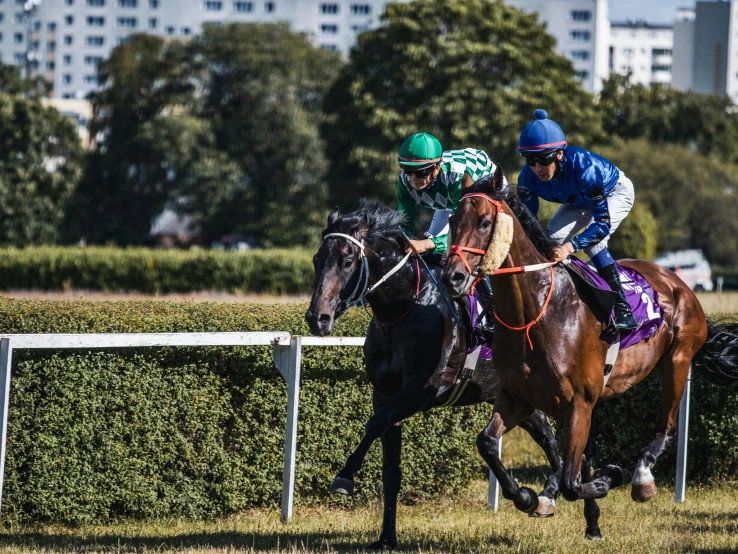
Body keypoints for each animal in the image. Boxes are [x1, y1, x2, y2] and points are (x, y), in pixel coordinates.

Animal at [304, 201, 556, 544]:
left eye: (346, 261)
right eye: (317, 260)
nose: (317, 318)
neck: (403, 308)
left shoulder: (423, 391)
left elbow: (374, 424)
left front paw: (344, 477)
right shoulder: (385, 393)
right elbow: (390, 467)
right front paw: (386, 538)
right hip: (517, 397)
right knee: (547, 435)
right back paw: (549, 497)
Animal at [440, 166, 736, 536]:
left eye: (483, 222)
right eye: (453, 220)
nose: (451, 277)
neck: (537, 312)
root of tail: (679, 283)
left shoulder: (578, 401)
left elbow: (572, 480)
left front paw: (610, 478)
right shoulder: (518, 397)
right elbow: (488, 443)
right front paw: (526, 496)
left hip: (677, 361)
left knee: (666, 427)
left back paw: (641, 478)